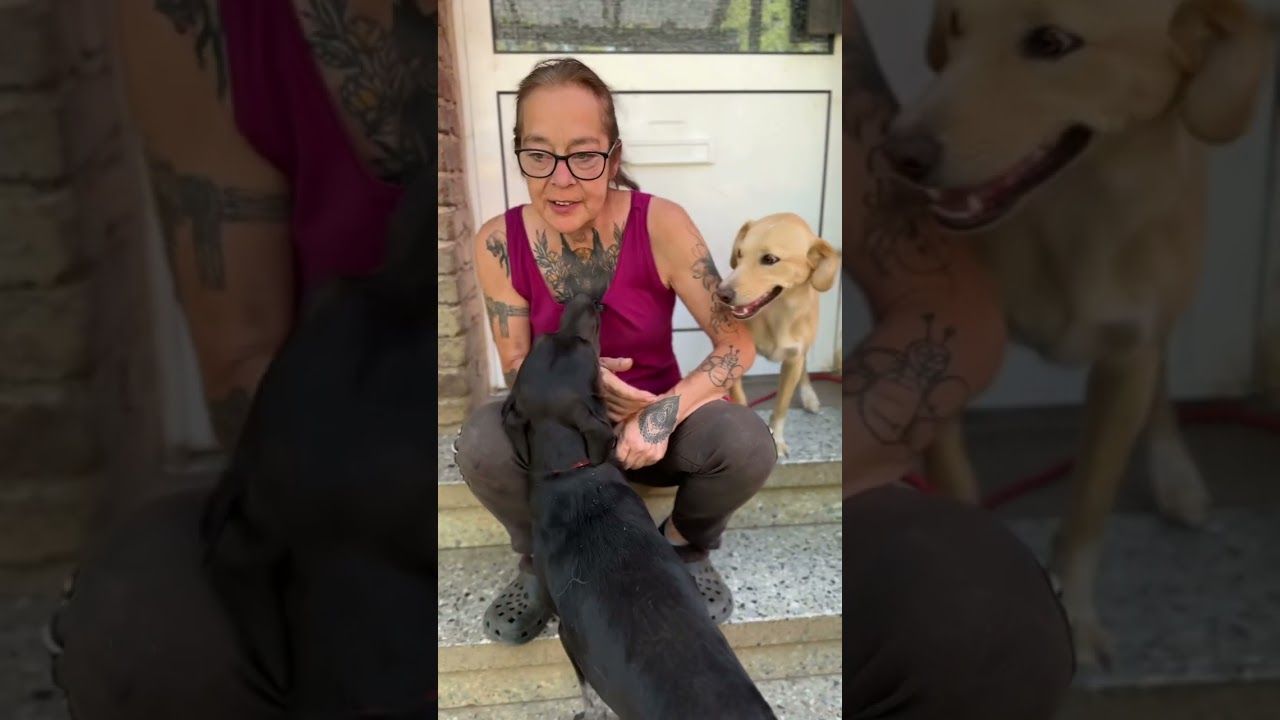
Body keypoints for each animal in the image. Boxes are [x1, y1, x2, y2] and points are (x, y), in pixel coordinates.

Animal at [501, 293, 777, 720]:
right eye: (549, 337)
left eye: (580, 344)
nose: (585, 299)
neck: (574, 473)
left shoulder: (569, 636)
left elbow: (588, 693)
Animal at [715, 214, 842, 455]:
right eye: (740, 254)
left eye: (770, 259)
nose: (721, 294)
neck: (778, 313)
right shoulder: (736, 357)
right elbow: (740, 400)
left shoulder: (793, 360)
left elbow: (782, 405)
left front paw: (778, 440)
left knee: (804, 365)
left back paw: (809, 396)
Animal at [883, 0, 1272, 667]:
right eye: (955, 25)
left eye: (1050, 42)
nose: (899, 154)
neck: (1073, 214)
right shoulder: (949, 358)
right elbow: (959, 488)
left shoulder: (1127, 358)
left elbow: (1091, 504)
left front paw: (1079, 621)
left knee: (1164, 368)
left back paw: (1176, 475)